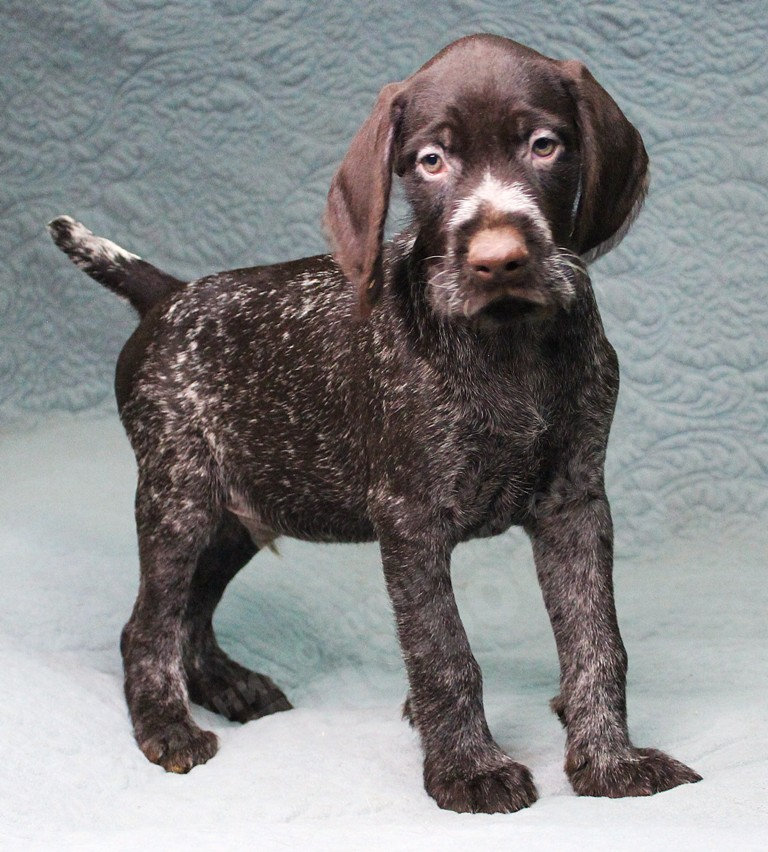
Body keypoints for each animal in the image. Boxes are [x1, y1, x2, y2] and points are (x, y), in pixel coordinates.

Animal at [48, 34, 700, 814]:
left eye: (544, 146)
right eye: (431, 161)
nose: (499, 259)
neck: (507, 343)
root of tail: (170, 295)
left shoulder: (574, 504)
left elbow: (597, 642)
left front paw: (607, 758)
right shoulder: (410, 519)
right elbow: (445, 653)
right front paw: (468, 770)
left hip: (239, 515)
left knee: (189, 616)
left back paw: (229, 685)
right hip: (179, 499)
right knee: (147, 626)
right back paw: (165, 725)